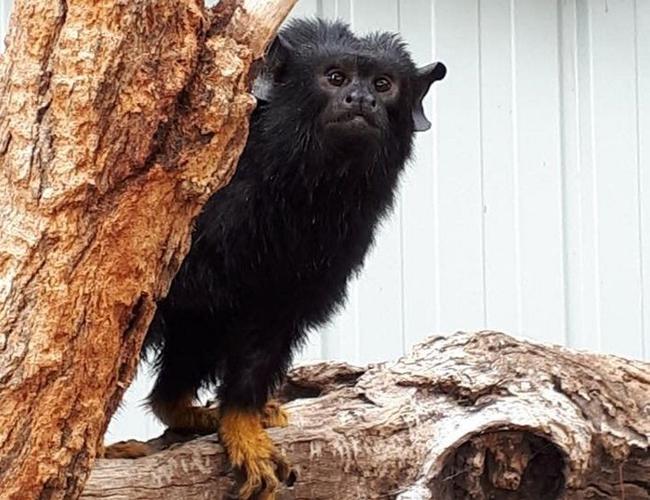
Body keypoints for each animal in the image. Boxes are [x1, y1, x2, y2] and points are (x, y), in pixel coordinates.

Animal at [109, 17, 442, 498]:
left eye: (383, 84)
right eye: (336, 77)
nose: (361, 100)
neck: (292, 185)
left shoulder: (325, 256)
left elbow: (268, 325)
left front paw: (243, 421)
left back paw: (180, 407)